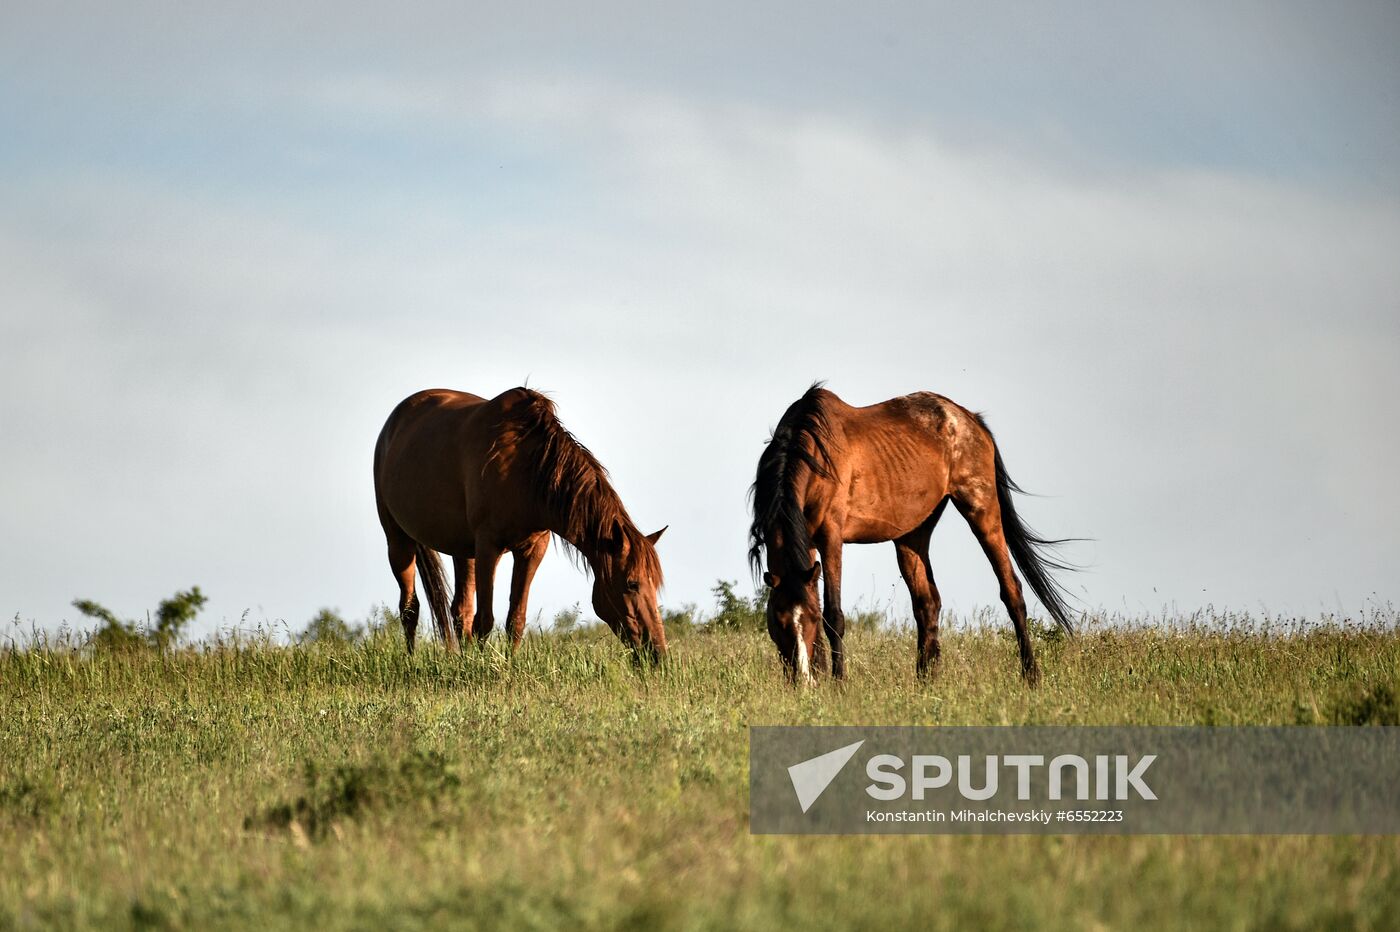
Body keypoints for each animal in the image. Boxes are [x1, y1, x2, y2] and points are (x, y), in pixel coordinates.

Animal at [372, 389, 666, 657]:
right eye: (632, 583)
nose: (658, 655)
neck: (525, 468)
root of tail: (393, 423)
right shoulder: (488, 547)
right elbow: (485, 620)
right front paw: (482, 668)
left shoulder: (532, 549)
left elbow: (516, 618)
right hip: (398, 541)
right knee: (410, 609)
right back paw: (411, 661)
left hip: (463, 550)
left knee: (459, 610)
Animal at [750, 383, 1075, 682]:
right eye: (777, 621)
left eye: (808, 620)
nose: (801, 679)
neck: (810, 451)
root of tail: (970, 419)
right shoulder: (808, 544)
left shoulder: (831, 537)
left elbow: (834, 615)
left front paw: (838, 683)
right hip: (913, 534)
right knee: (927, 603)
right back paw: (925, 682)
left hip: (982, 509)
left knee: (1011, 591)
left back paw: (1031, 676)